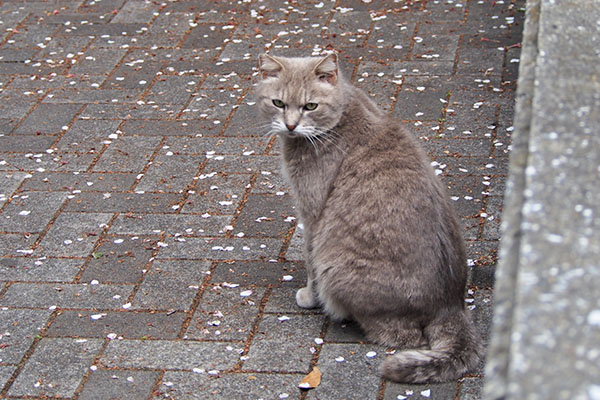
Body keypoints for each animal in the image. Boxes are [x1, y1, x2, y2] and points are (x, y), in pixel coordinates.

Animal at [254, 53, 482, 384]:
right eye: (278, 103)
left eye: (311, 106)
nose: (291, 125)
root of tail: (450, 305)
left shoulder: (312, 213)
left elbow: (309, 262)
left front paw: (309, 296)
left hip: (337, 265)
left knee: (402, 336)